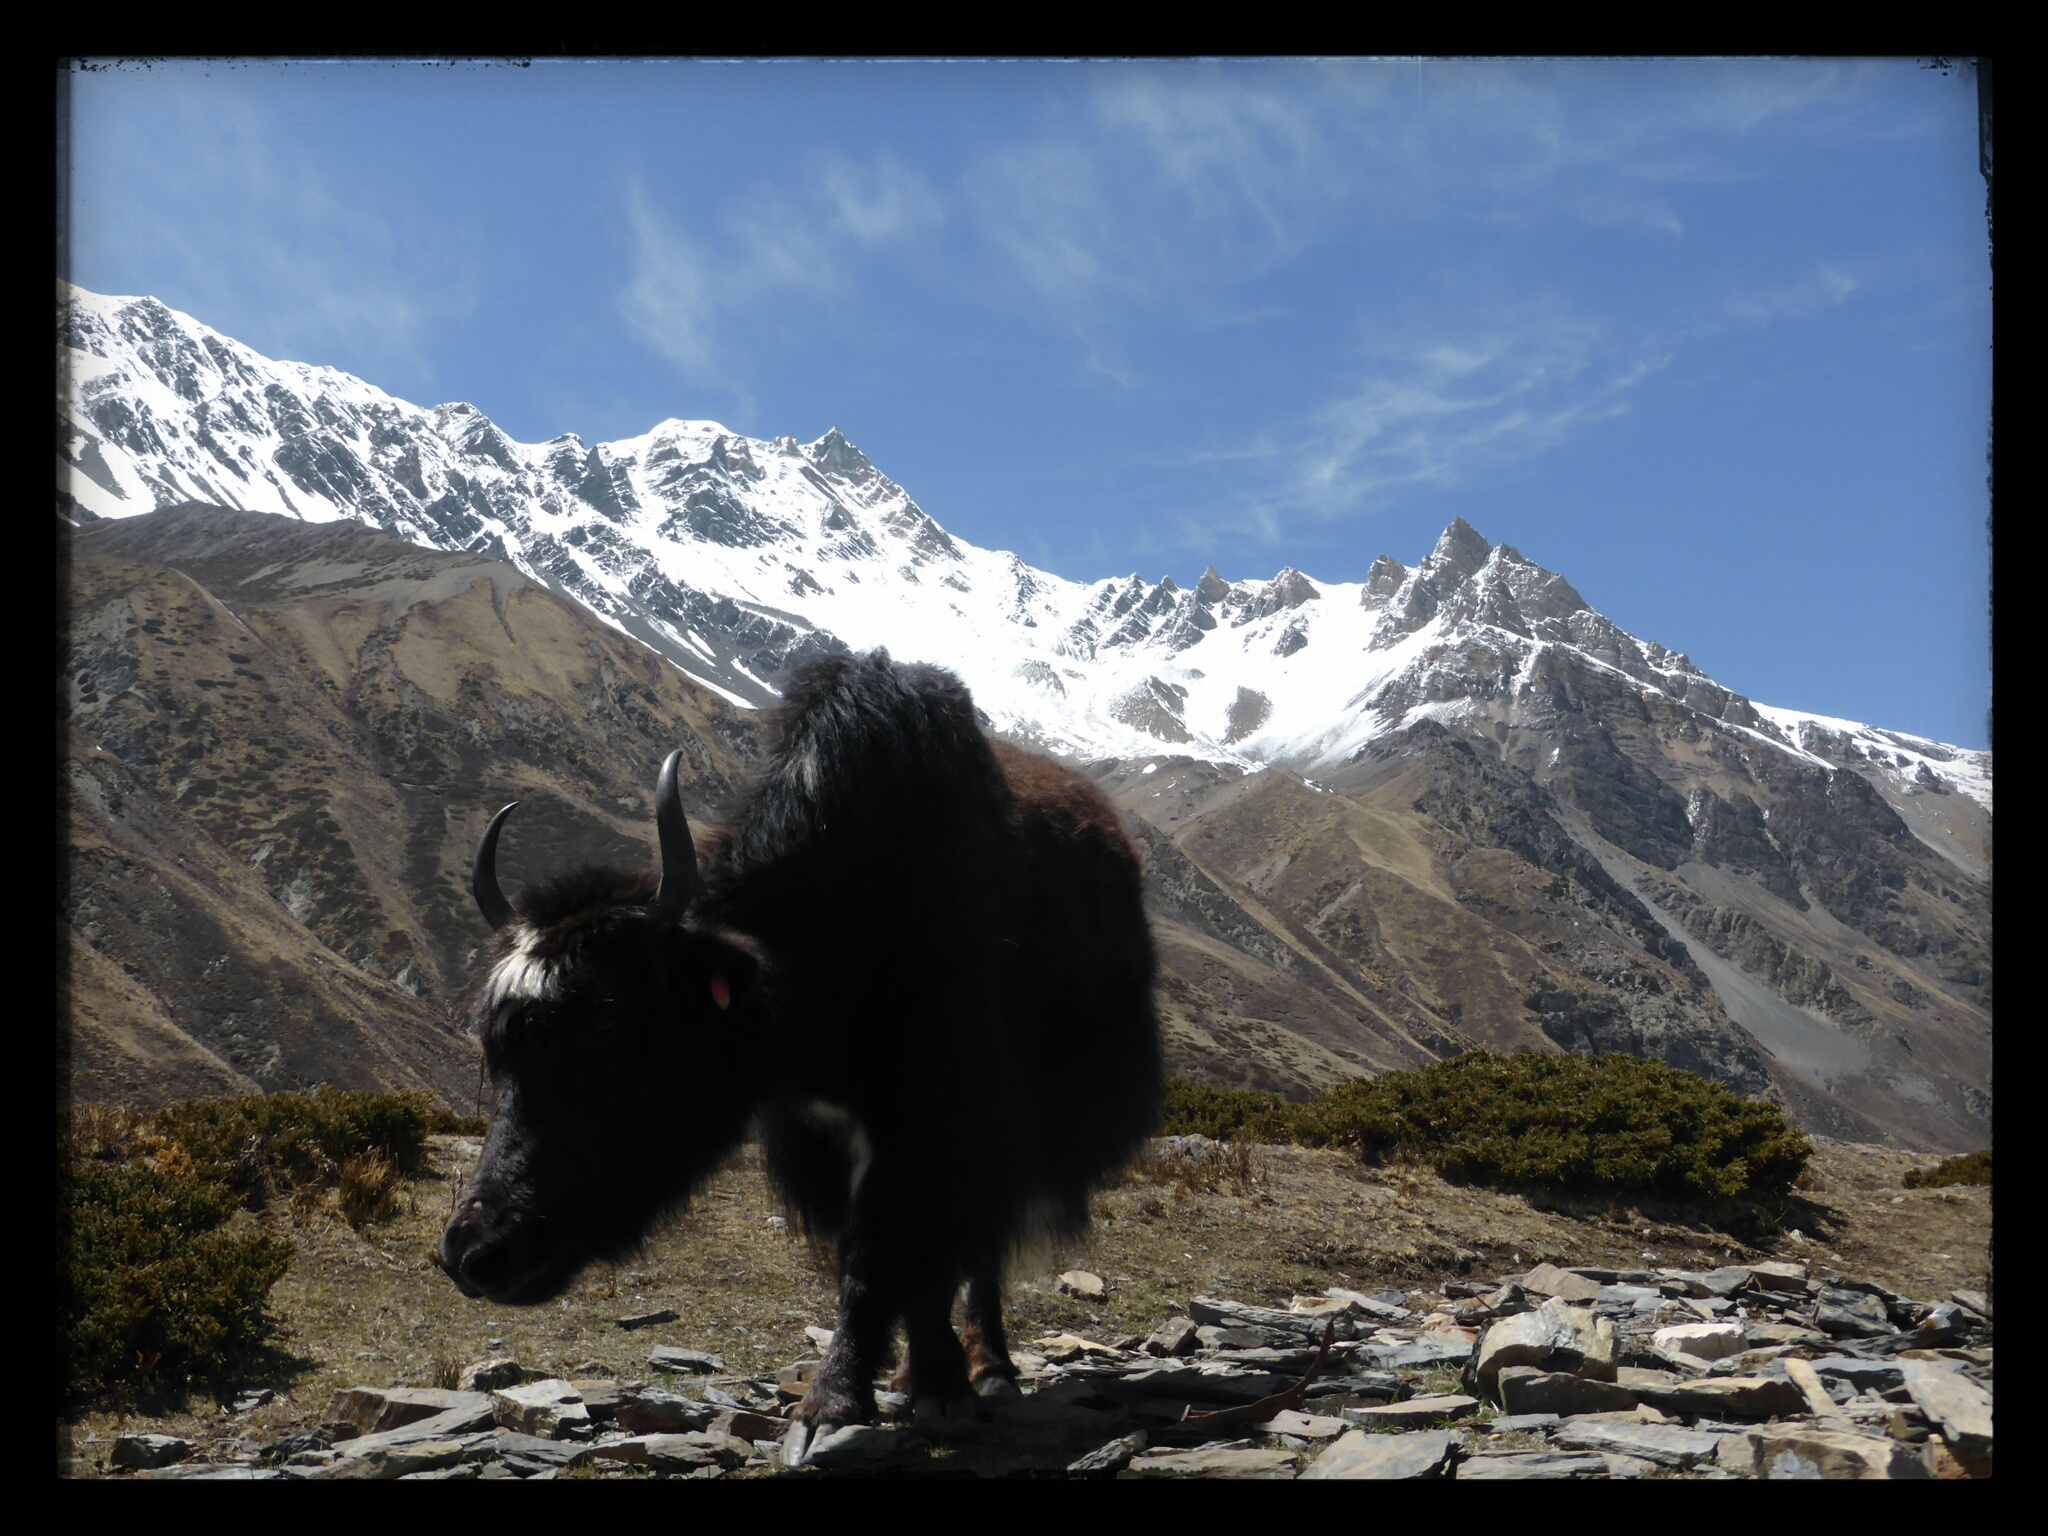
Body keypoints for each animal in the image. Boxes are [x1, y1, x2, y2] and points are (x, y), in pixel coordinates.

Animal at [438, 651, 1164, 1460]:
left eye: (604, 1023)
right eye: (497, 1046)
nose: (472, 1255)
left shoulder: (938, 1115)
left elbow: (887, 1257)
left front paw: (853, 1401)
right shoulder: (821, 1133)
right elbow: (878, 1258)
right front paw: (903, 1382)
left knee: (979, 1244)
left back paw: (993, 1369)